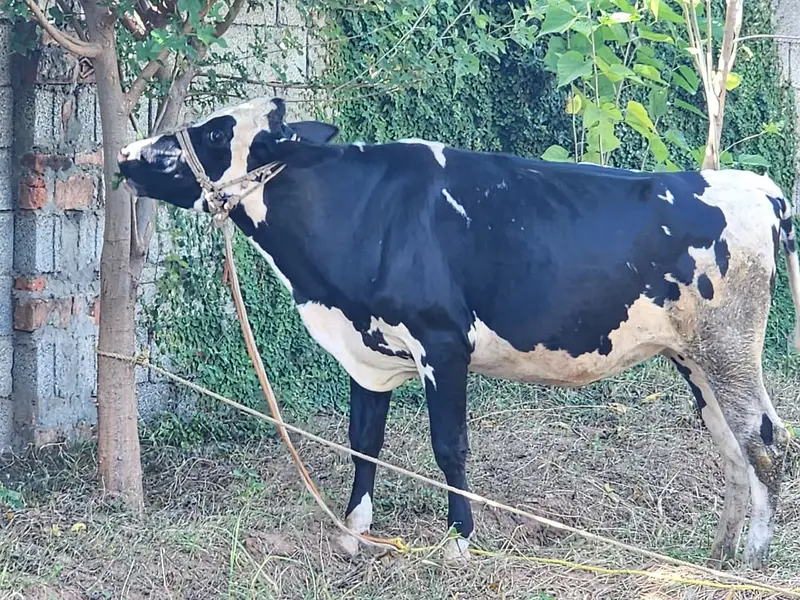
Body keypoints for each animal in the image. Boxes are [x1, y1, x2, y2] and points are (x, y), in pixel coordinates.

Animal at [117, 96, 800, 569]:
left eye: (213, 133)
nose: (126, 154)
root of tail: (760, 187)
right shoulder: (368, 354)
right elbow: (364, 441)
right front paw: (353, 532)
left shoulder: (442, 344)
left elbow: (449, 446)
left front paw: (458, 541)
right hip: (695, 357)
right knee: (730, 443)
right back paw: (717, 555)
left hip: (730, 345)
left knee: (765, 438)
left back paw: (753, 558)